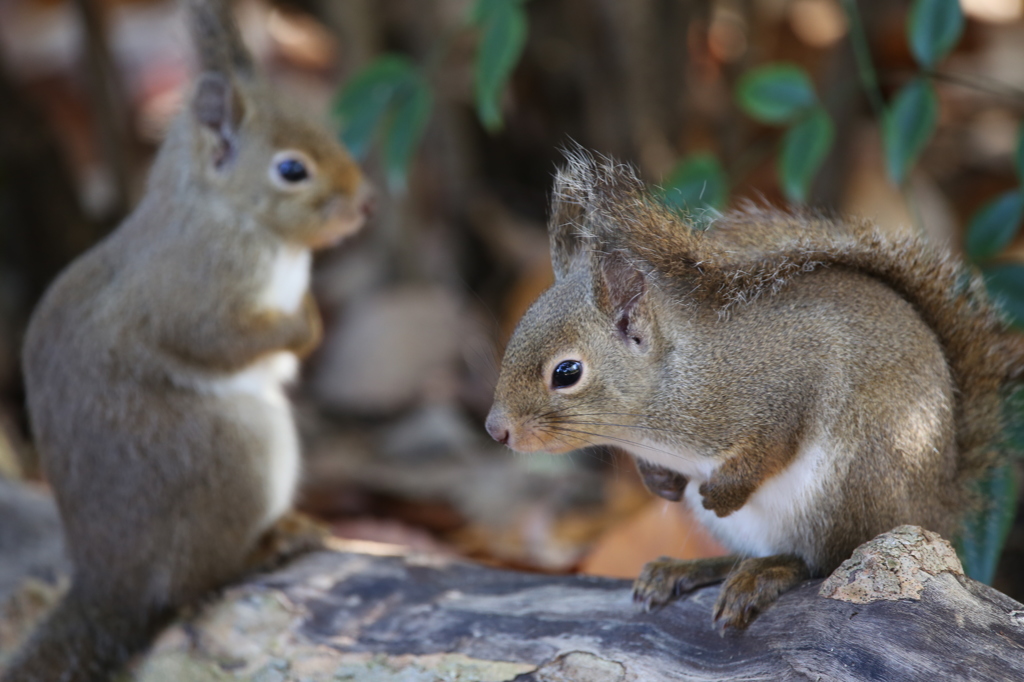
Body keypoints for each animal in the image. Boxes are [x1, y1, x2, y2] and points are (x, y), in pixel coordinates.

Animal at [3, 2, 372, 675]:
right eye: (292, 169)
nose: (365, 206)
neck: (226, 214)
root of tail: (109, 584)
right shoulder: (193, 294)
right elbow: (215, 339)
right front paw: (303, 327)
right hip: (234, 456)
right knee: (192, 581)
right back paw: (272, 545)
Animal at [485, 148, 1024, 626]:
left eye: (567, 373)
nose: (496, 430)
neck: (672, 389)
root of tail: (938, 506)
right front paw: (659, 480)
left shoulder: (790, 382)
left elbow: (773, 444)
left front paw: (725, 489)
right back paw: (690, 567)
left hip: (852, 481)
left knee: (822, 560)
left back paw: (766, 571)